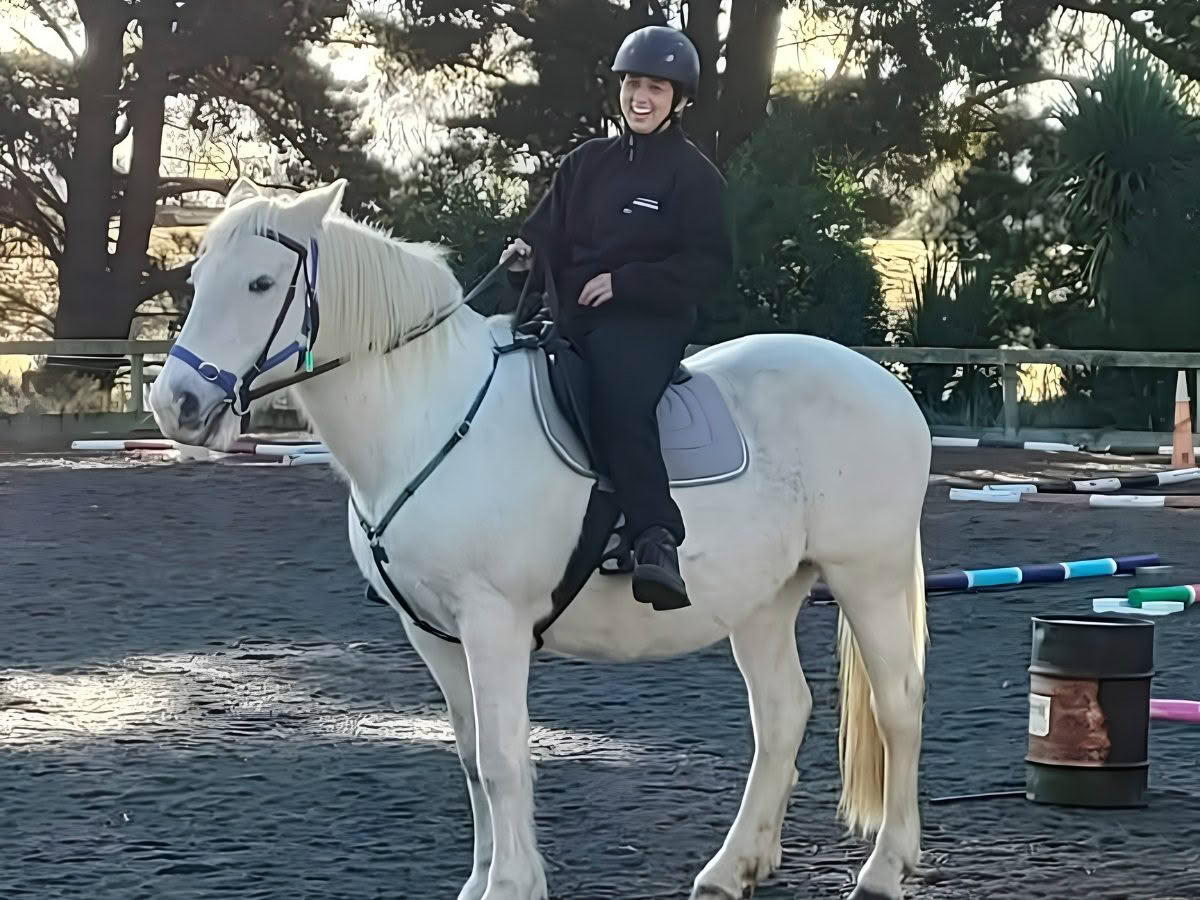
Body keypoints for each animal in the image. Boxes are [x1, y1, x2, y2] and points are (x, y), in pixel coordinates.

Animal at [149, 177, 931, 900]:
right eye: (196, 280)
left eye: (260, 283)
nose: (176, 405)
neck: (428, 414)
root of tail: (887, 387)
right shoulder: (432, 633)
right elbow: (472, 758)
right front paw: (481, 882)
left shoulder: (492, 623)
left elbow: (502, 758)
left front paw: (510, 886)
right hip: (764, 599)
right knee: (781, 714)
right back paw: (731, 868)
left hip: (867, 577)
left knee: (897, 707)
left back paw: (884, 870)